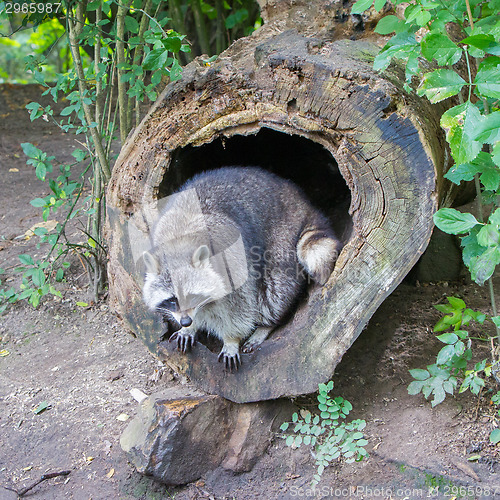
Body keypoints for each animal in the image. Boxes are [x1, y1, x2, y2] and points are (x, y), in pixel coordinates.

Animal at [143, 166, 342, 370]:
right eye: (172, 300)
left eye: (192, 296)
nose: (185, 321)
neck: (179, 245)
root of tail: (303, 204)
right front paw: (190, 328)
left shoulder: (231, 260)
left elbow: (239, 305)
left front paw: (231, 339)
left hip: (282, 240)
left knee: (275, 290)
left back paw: (266, 324)